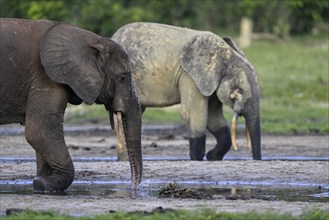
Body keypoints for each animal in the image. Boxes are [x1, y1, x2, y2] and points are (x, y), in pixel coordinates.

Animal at [0, 18, 142, 191]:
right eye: (122, 77)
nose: (132, 186)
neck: (92, 40)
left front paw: (42, 182)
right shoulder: (46, 77)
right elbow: (39, 132)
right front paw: (46, 183)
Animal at [111, 21, 260, 160]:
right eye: (238, 91)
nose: (256, 160)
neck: (226, 56)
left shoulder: (209, 82)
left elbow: (213, 118)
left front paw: (212, 157)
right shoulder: (189, 76)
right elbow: (194, 114)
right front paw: (198, 159)